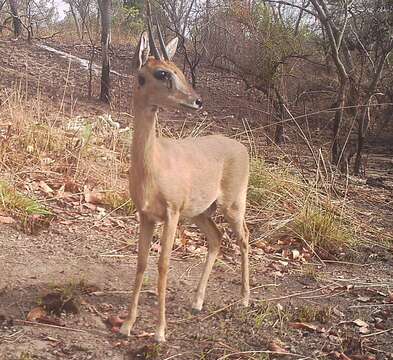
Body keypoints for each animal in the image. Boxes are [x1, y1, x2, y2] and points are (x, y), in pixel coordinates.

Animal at [118, 12, 250, 344]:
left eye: (178, 69)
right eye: (162, 73)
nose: (197, 101)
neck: (153, 166)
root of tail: (241, 147)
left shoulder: (172, 214)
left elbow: (164, 265)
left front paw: (159, 332)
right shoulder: (146, 216)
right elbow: (141, 262)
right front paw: (127, 326)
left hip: (233, 206)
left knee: (244, 239)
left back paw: (244, 298)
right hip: (202, 213)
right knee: (216, 239)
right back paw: (197, 302)